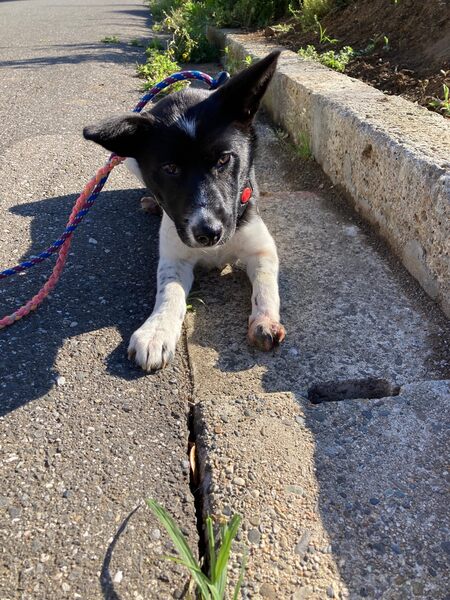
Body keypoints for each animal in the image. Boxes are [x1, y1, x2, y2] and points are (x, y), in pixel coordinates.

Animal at [83, 50, 285, 371]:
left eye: (224, 160)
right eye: (170, 169)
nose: (208, 234)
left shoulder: (261, 247)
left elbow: (266, 284)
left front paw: (265, 320)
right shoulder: (174, 256)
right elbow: (170, 292)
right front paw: (156, 331)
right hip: (129, 162)